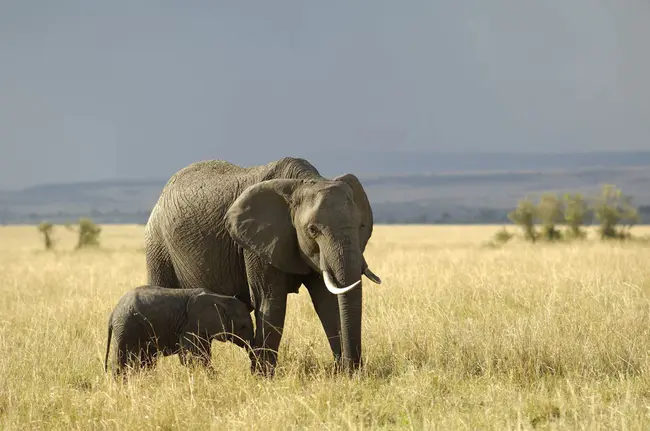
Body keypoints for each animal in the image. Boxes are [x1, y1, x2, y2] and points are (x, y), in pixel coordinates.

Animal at [104, 286, 253, 374]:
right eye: (243, 326)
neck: (221, 299)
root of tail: (113, 313)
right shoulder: (190, 325)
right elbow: (193, 356)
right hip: (126, 328)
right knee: (122, 359)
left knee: (144, 360)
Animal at [144, 157, 380, 376]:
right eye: (312, 230)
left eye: (361, 225)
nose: (353, 368)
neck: (302, 182)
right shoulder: (256, 245)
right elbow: (270, 300)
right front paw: (263, 378)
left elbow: (327, 302)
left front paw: (343, 374)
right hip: (157, 245)